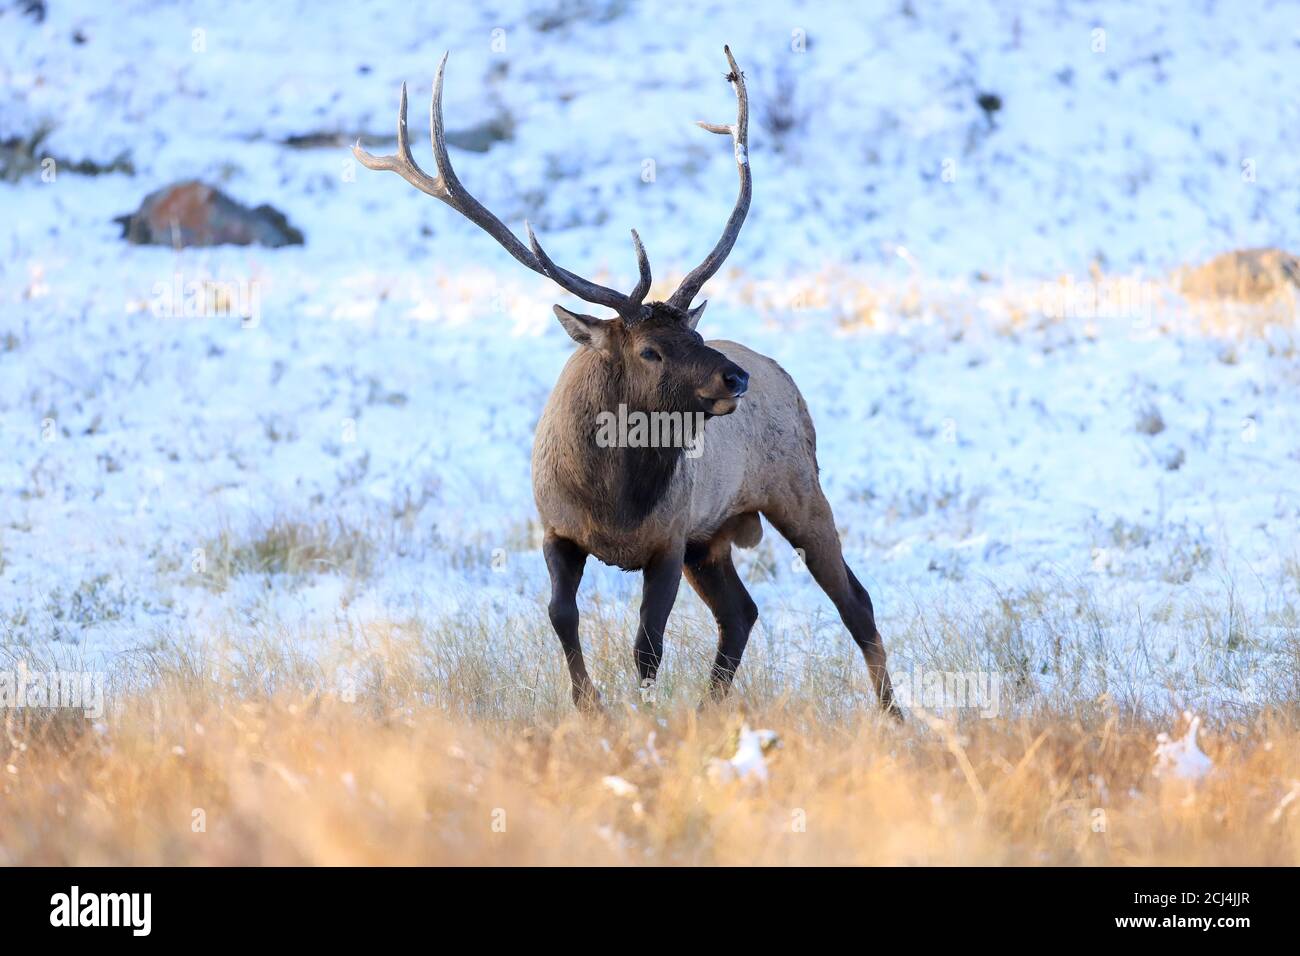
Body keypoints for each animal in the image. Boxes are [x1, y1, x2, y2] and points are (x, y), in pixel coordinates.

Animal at [358, 46, 904, 717]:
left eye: (696, 333)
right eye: (649, 350)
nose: (736, 378)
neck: (612, 502)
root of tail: (786, 378)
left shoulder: (667, 540)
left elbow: (648, 643)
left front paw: (639, 712)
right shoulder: (558, 530)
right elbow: (561, 616)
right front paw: (588, 704)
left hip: (796, 491)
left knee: (854, 600)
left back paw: (893, 715)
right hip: (711, 538)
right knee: (742, 612)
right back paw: (711, 705)